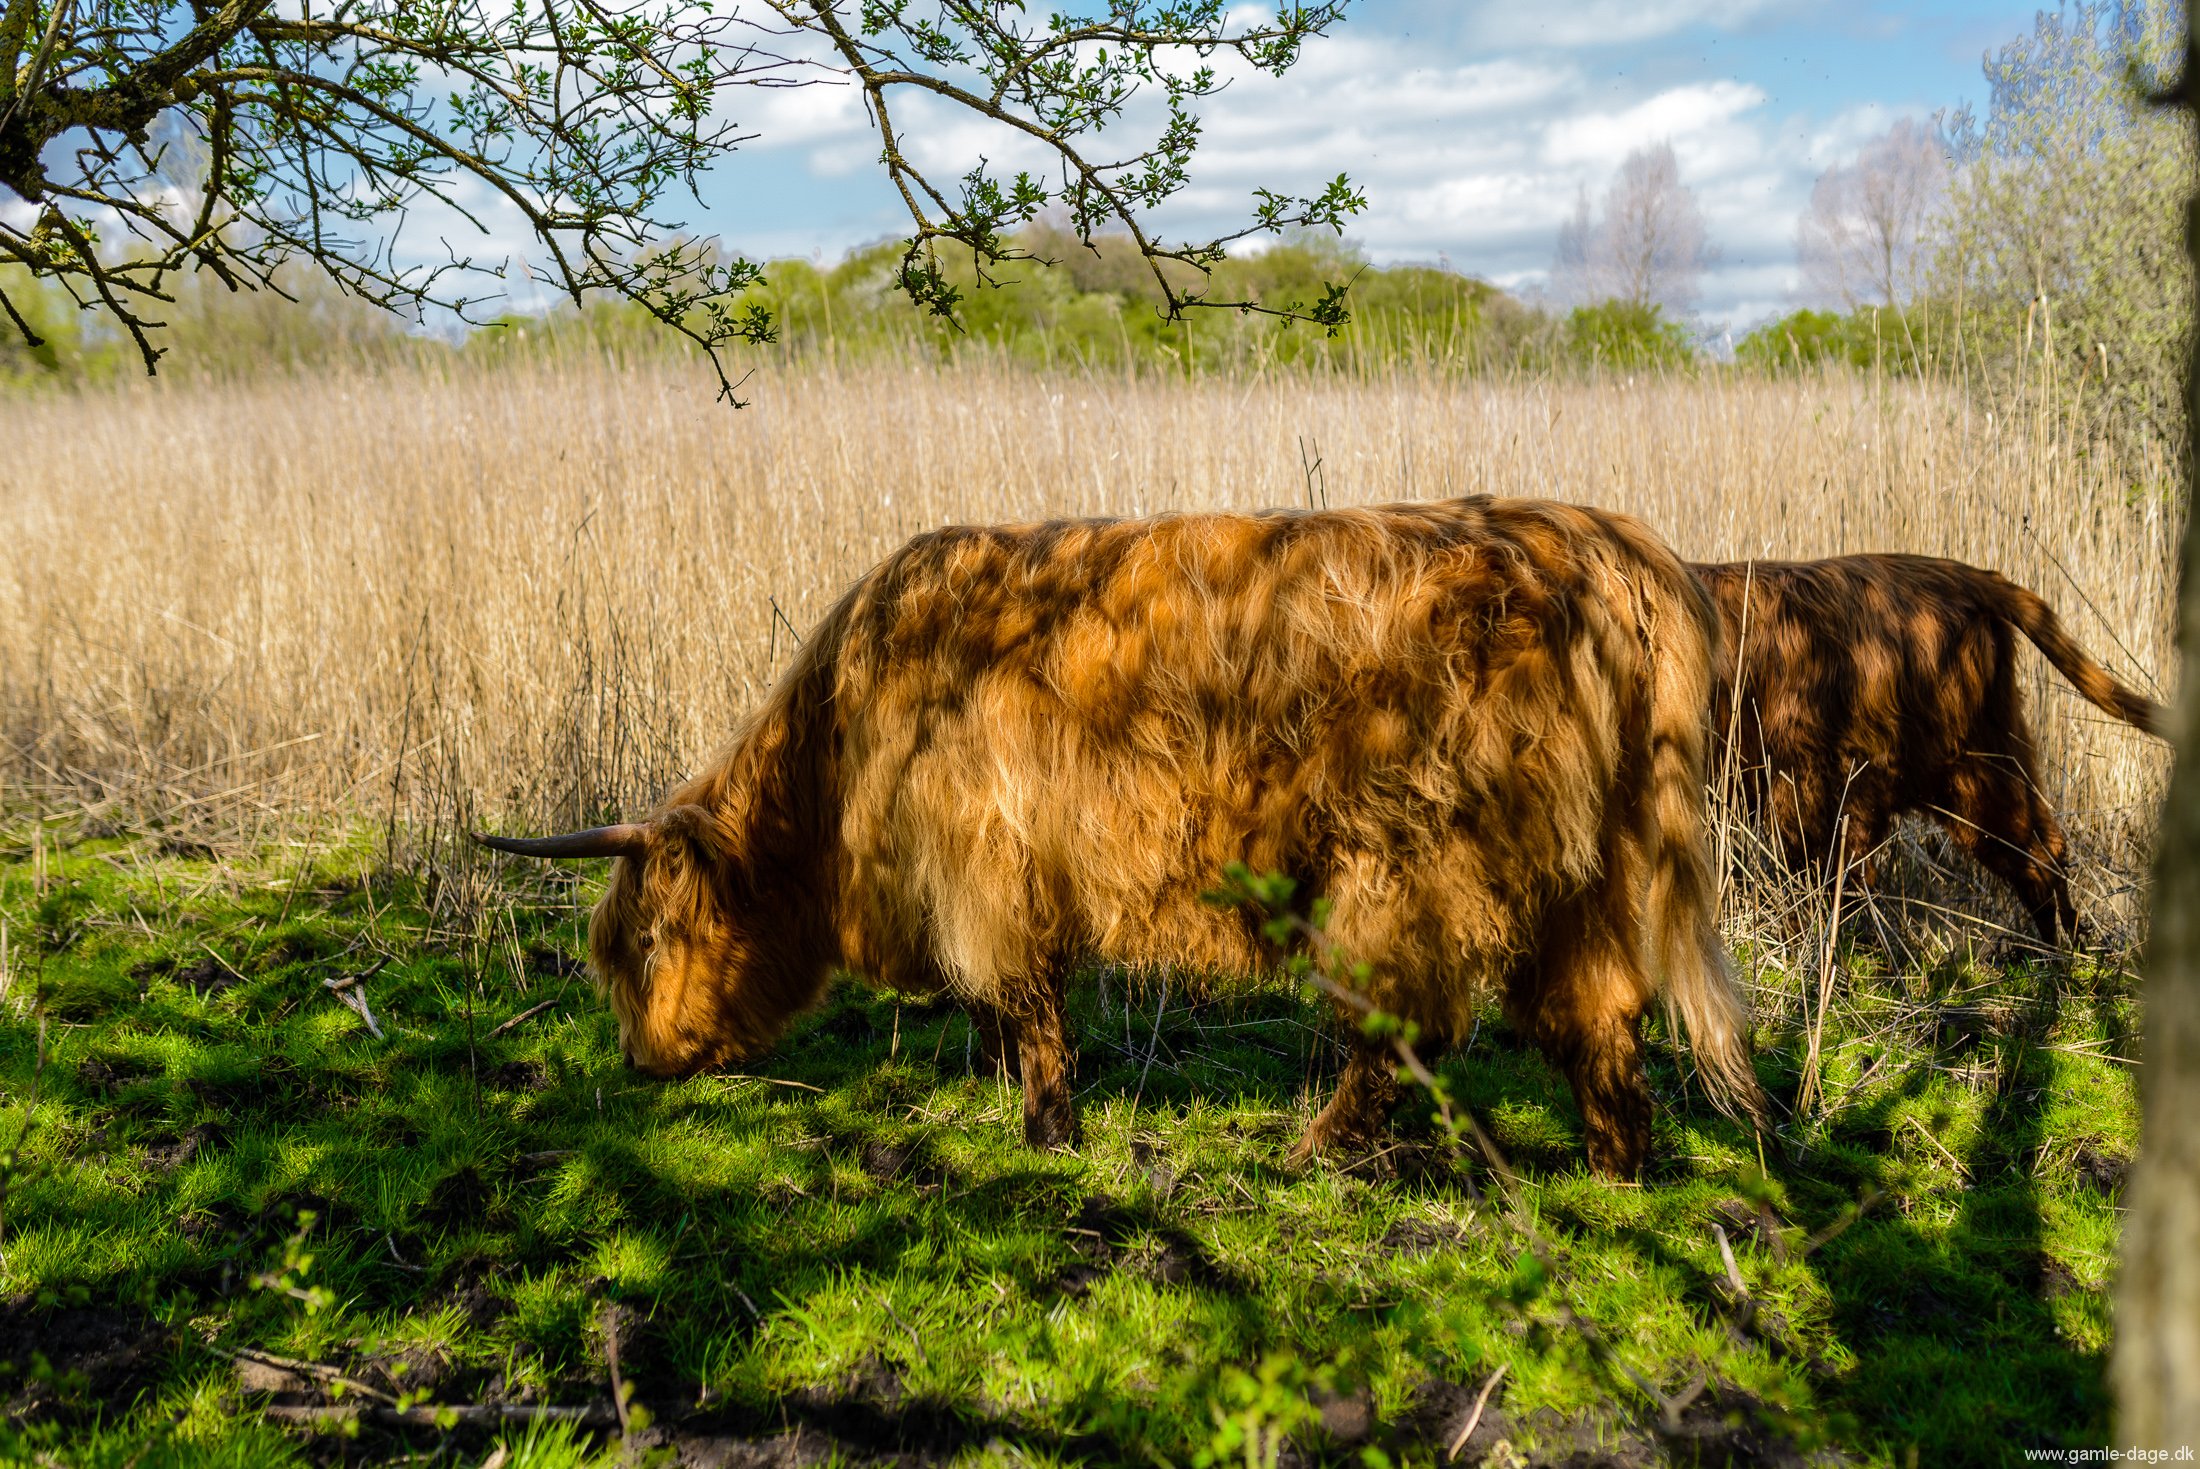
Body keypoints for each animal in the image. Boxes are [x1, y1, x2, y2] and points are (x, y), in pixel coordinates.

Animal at [486, 499, 1768, 1178]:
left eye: (646, 941)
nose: (641, 1060)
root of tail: (1597, 540)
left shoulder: (991, 859)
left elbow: (1027, 1003)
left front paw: (1045, 1131)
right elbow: (1013, 1005)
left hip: (1407, 858)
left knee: (1408, 1020)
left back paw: (1313, 1150)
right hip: (1589, 870)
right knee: (1598, 1012)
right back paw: (1613, 1168)